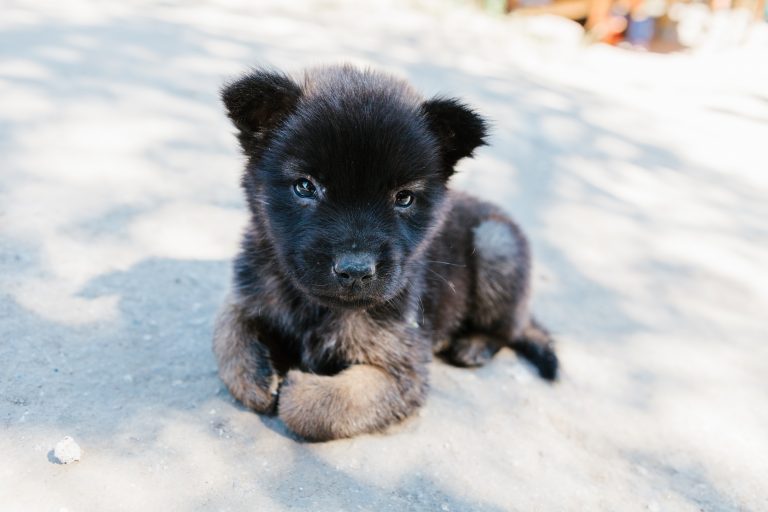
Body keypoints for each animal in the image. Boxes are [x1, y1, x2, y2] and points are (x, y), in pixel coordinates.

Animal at [214, 64, 560, 440]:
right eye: (305, 186)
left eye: (404, 198)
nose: (355, 270)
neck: (317, 310)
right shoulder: (247, 292)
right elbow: (228, 335)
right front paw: (257, 379)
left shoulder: (403, 370)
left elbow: (325, 406)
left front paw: (296, 389)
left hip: (496, 242)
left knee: (510, 328)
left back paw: (474, 345)